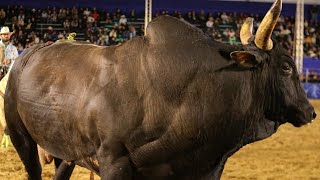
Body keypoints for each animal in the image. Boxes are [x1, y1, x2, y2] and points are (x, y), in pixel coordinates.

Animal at [5, 15, 318, 179]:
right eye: (286, 67)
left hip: (65, 151)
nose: (310, 111)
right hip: (21, 137)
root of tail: (27, 55)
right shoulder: (113, 162)